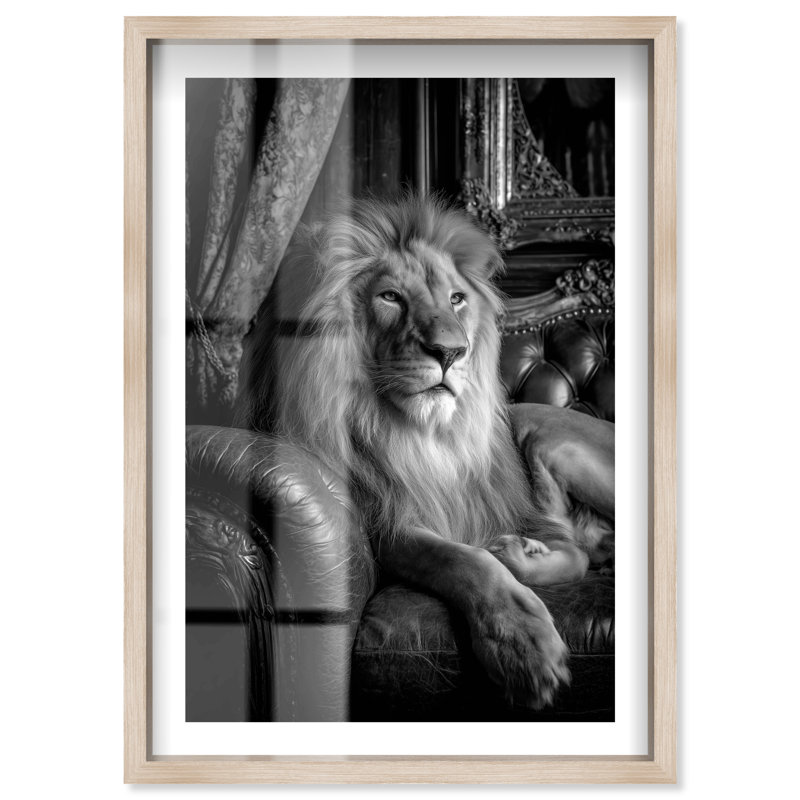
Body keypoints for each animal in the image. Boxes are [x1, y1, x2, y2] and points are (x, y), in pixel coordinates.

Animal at [237, 195, 601, 709]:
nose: (450, 352)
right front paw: (524, 645)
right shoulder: (386, 520)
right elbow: (463, 560)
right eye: (390, 297)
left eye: (456, 299)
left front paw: (522, 554)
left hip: (541, 430)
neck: (418, 435)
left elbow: (573, 554)